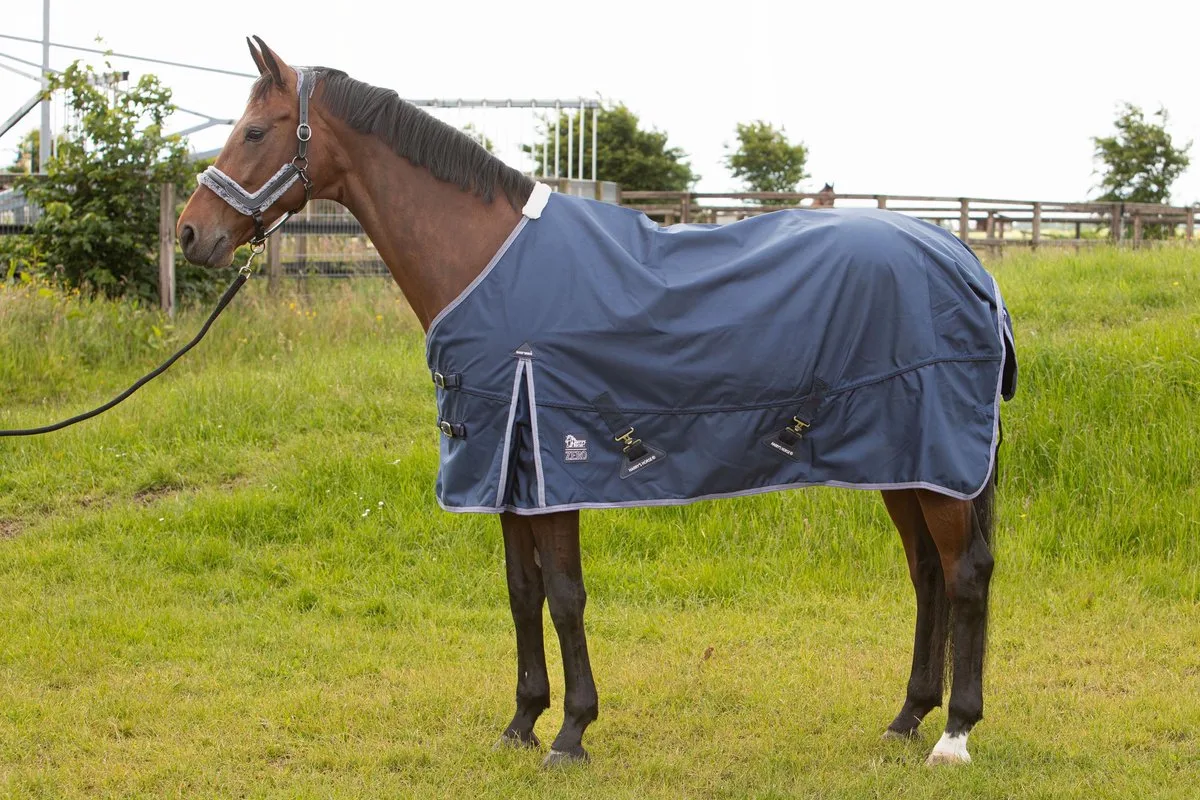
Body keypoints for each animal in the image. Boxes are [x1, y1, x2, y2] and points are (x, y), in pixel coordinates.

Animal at [178, 37, 1015, 769]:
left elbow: (565, 596)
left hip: (935, 458)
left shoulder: (555, 460)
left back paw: (955, 734)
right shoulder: (507, 464)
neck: (488, 259)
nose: (192, 233)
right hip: (905, 460)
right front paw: (521, 722)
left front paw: (572, 732)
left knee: (967, 570)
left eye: (255, 130)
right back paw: (908, 716)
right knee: (928, 573)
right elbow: (522, 594)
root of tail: (962, 258)